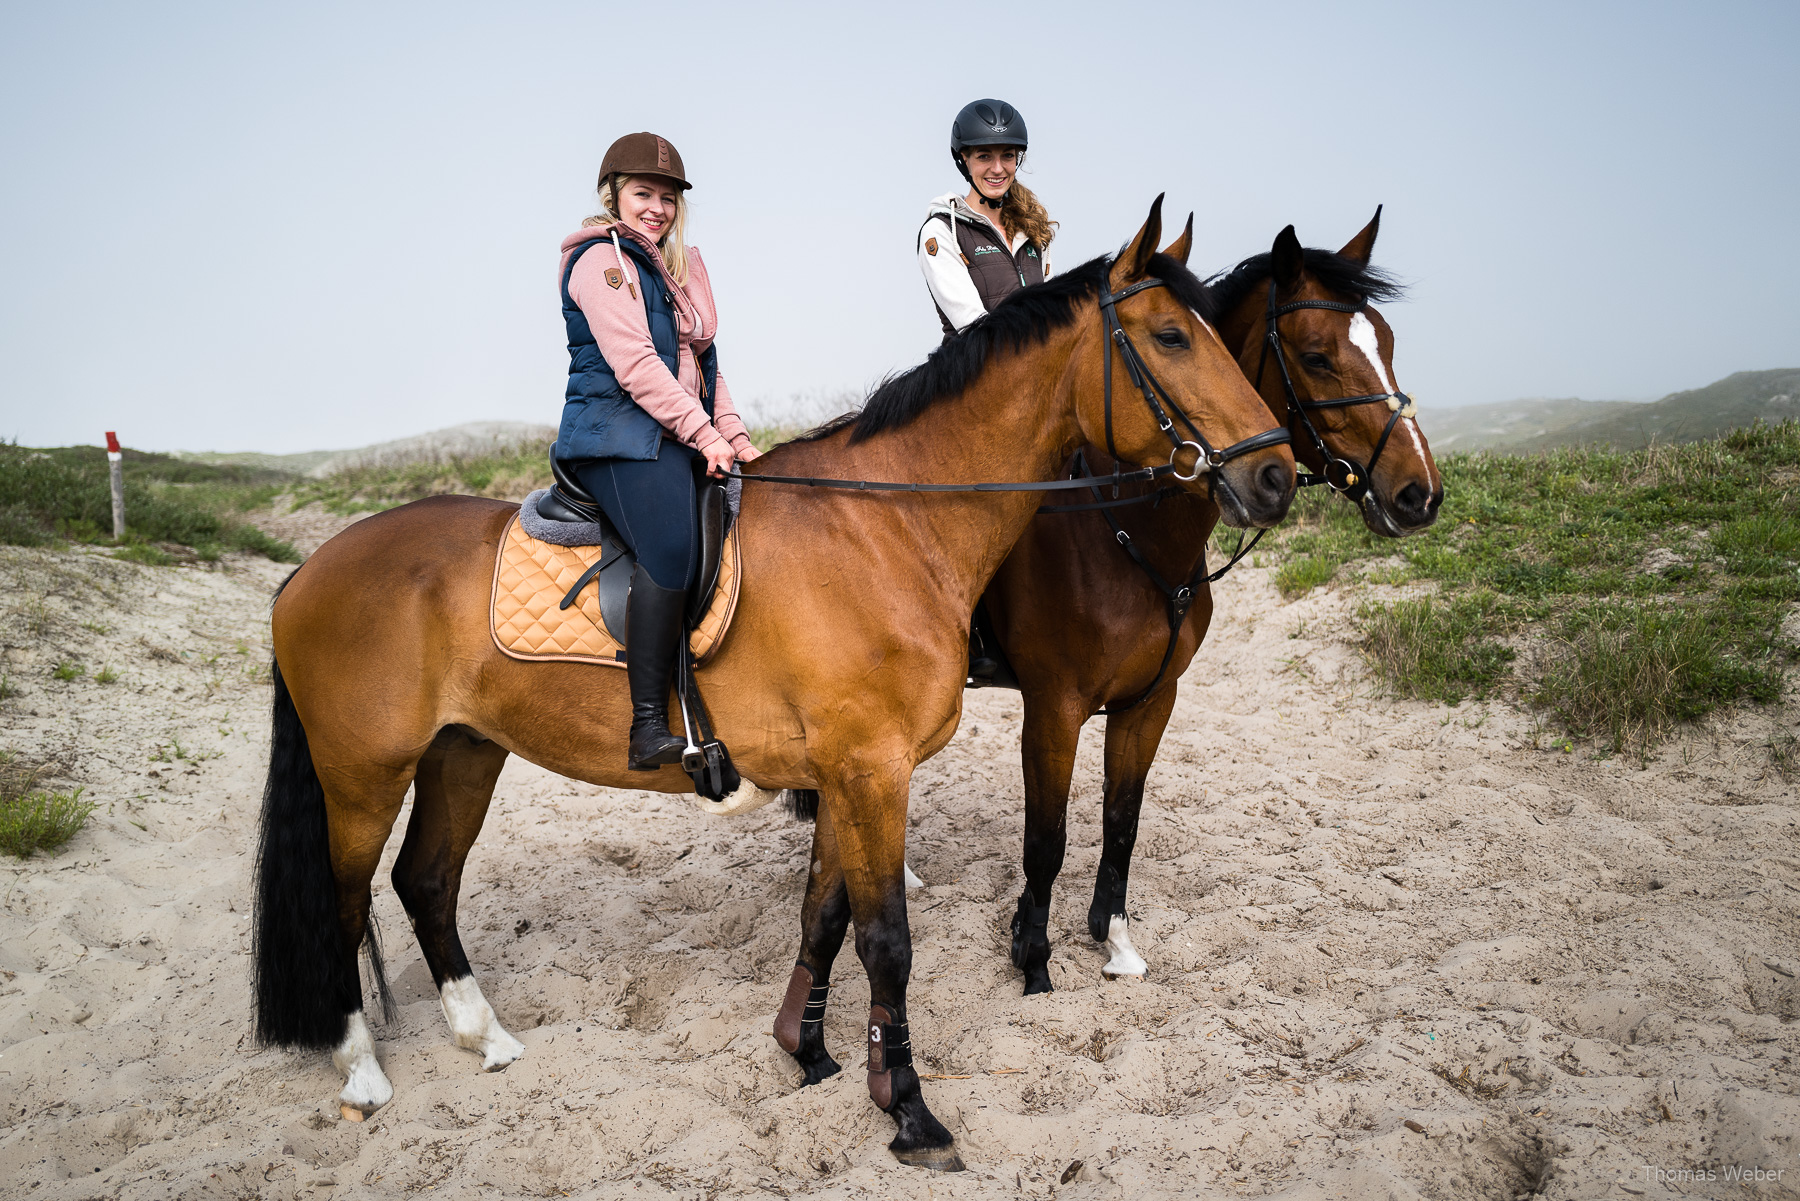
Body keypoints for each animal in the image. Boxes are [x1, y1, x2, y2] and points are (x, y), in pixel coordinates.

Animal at [253, 199, 1296, 1173]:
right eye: (1171, 336)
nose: (1278, 475)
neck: (887, 527)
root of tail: (305, 573)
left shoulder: (844, 773)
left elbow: (824, 916)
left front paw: (812, 1055)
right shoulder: (874, 770)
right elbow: (887, 939)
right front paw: (911, 1113)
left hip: (465, 752)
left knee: (425, 880)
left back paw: (486, 1037)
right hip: (363, 776)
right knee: (342, 905)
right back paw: (362, 1071)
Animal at [770, 216, 1432, 1087]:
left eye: (1385, 340)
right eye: (1318, 354)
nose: (1419, 493)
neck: (1126, 531)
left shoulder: (1151, 700)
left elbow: (1122, 819)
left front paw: (1113, 940)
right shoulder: (1054, 708)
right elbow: (1045, 839)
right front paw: (1032, 957)